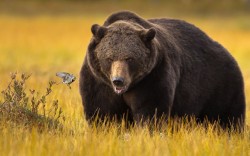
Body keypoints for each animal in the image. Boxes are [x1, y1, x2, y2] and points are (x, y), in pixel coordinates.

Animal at [79, 10, 245, 129]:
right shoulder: (98, 80)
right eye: (109, 58)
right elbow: (103, 112)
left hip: (217, 83)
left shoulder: (153, 76)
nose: (118, 81)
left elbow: (150, 110)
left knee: (227, 117)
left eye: (130, 58)